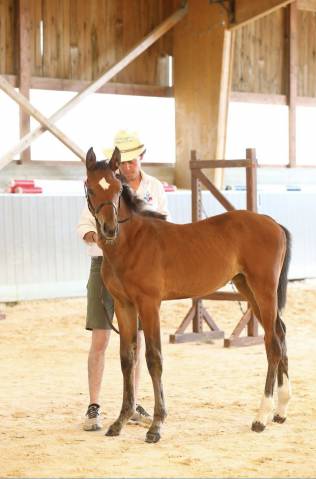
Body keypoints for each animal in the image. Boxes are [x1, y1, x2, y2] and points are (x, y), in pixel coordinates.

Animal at [84, 146, 292, 442]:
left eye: (116, 188)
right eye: (90, 188)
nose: (109, 229)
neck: (131, 242)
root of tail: (273, 223)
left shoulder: (149, 304)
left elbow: (154, 358)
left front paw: (156, 426)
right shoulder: (124, 306)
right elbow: (127, 359)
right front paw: (120, 421)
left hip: (264, 291)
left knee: (273, 343)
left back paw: (261, 417)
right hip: (248, 289)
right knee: (280, 335)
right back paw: (281, 411)